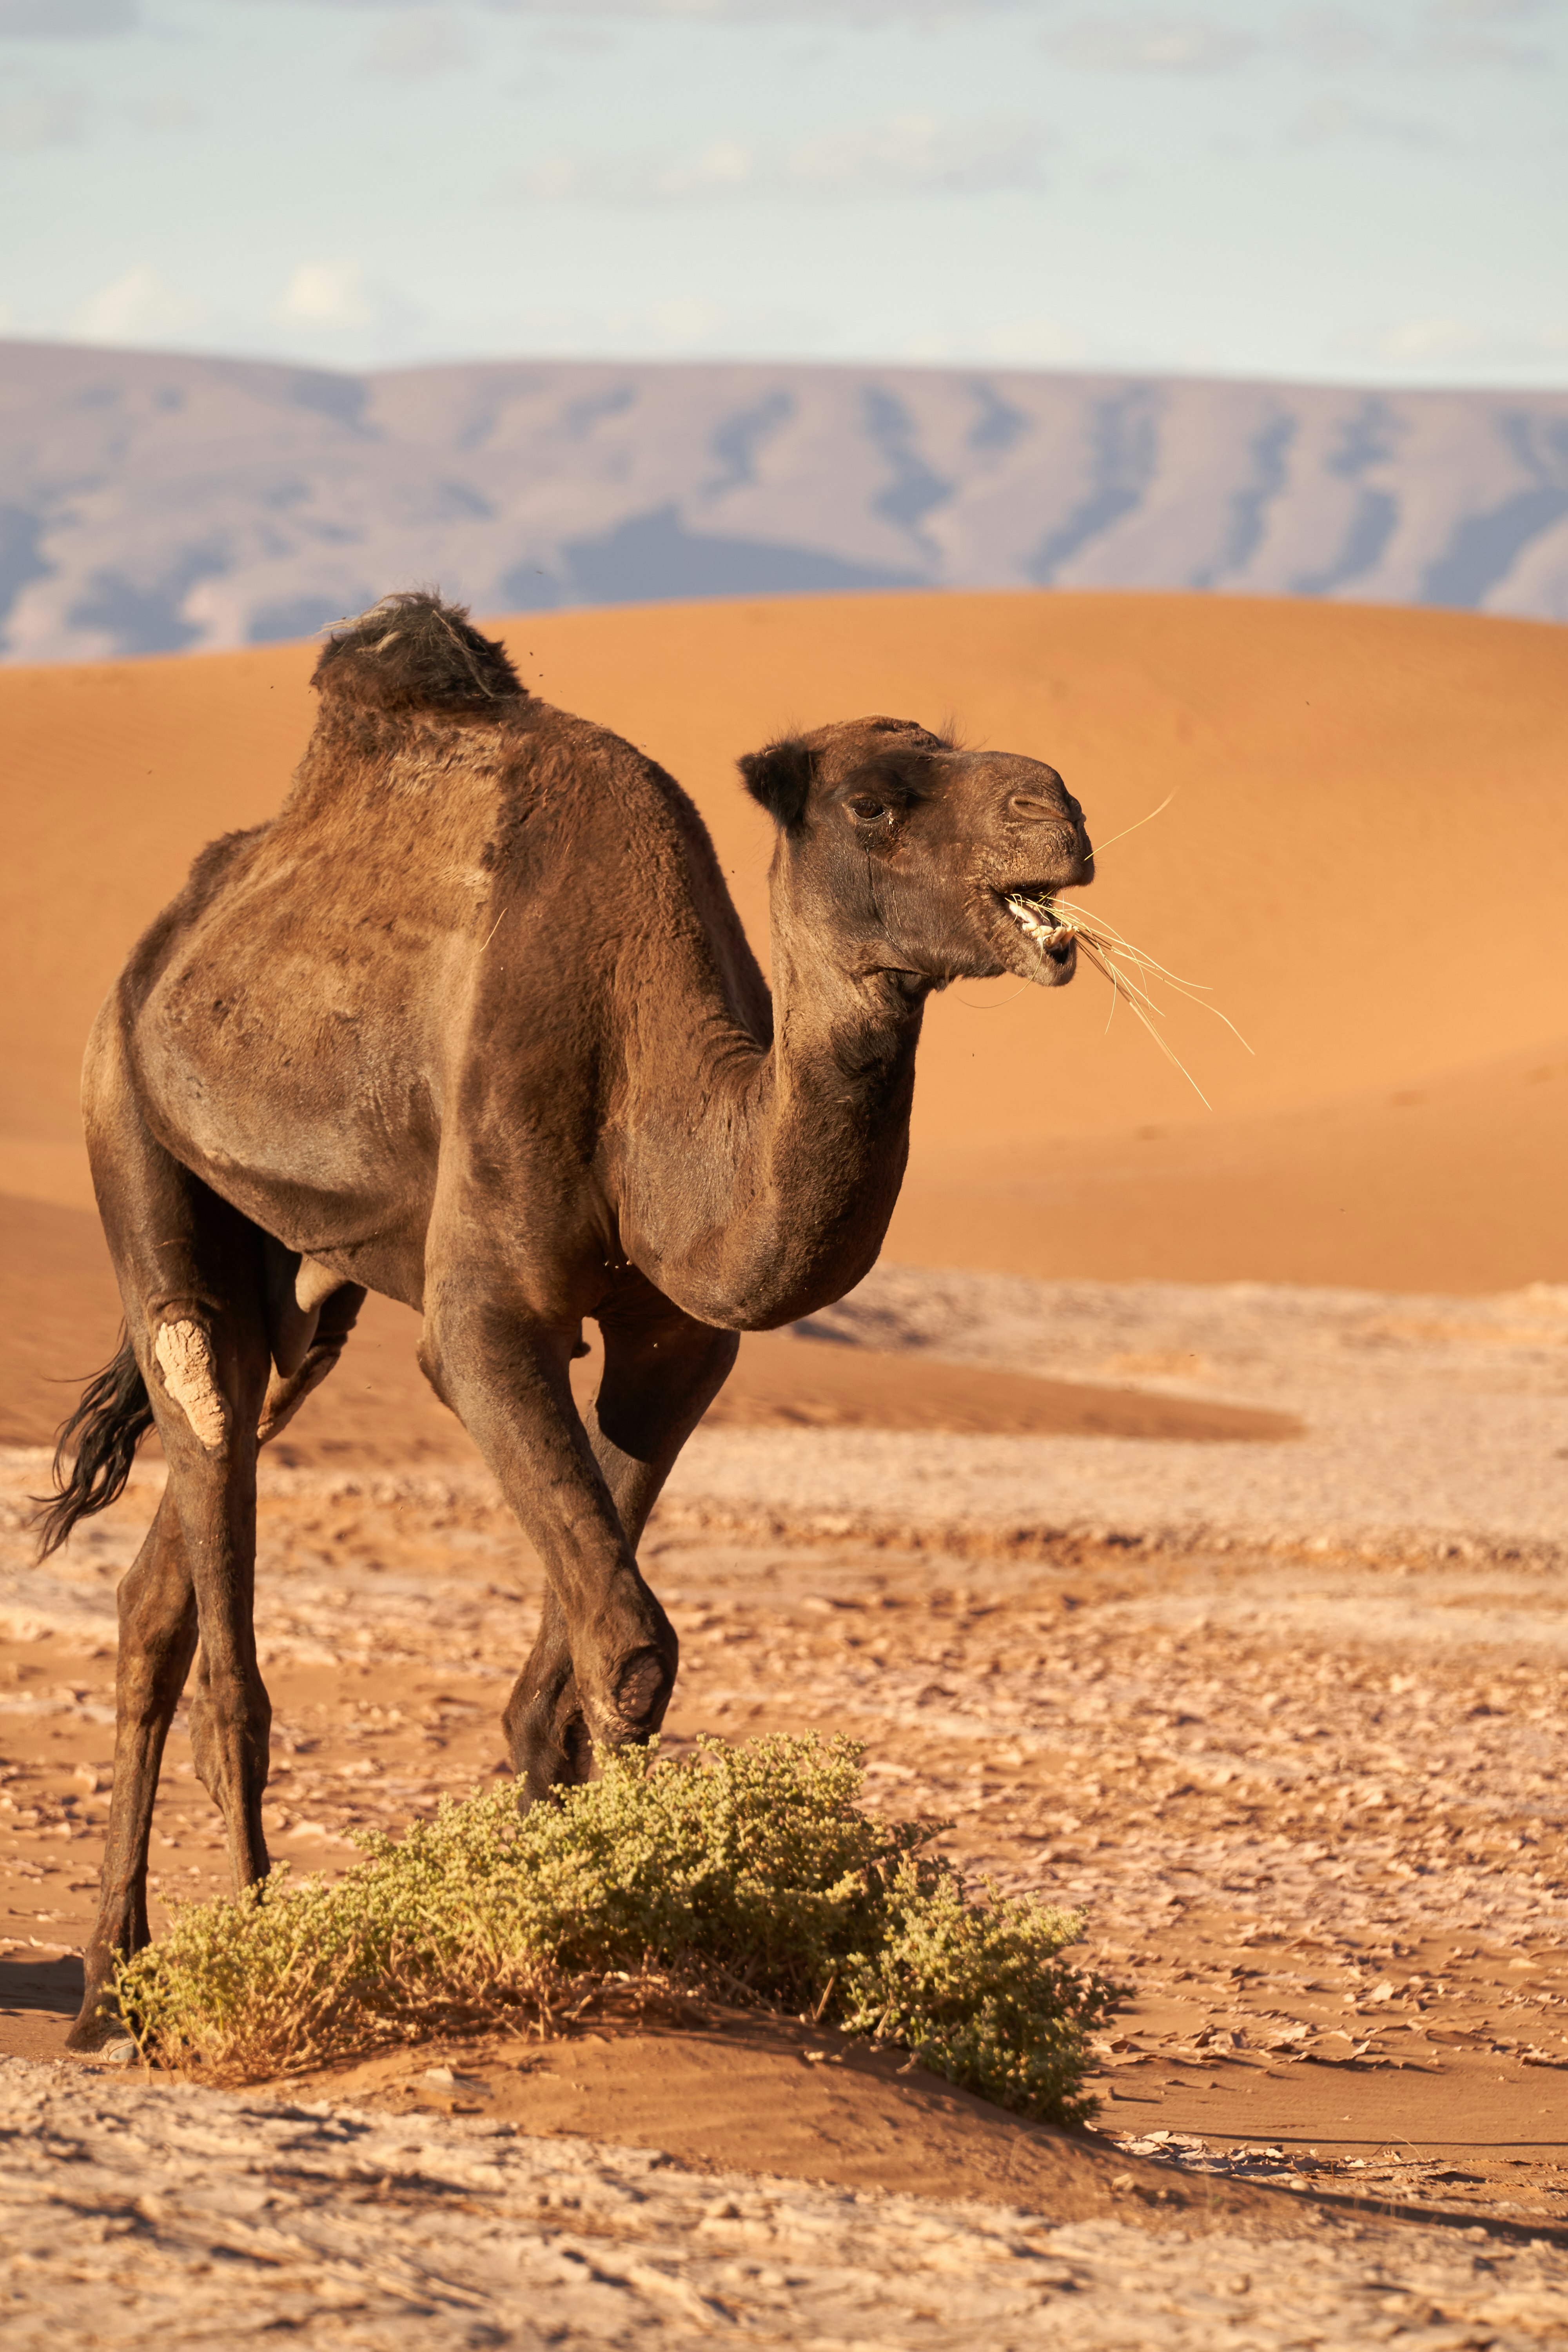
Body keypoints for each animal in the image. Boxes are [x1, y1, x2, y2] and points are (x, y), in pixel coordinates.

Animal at [34, 597, 1091, 2051]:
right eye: (875, 801)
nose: (1061, 809)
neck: (656, 1093)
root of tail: (169, 937)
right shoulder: (485, 1317)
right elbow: (633, 1648)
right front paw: (624, 1923)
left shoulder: (679, 1349)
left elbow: (576, 1677)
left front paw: (592, 1912)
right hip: (130, 1125)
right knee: (206, 1475)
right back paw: (217, 1962)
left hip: (309, 1277)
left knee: (177, 1548)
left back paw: (107, 1984)